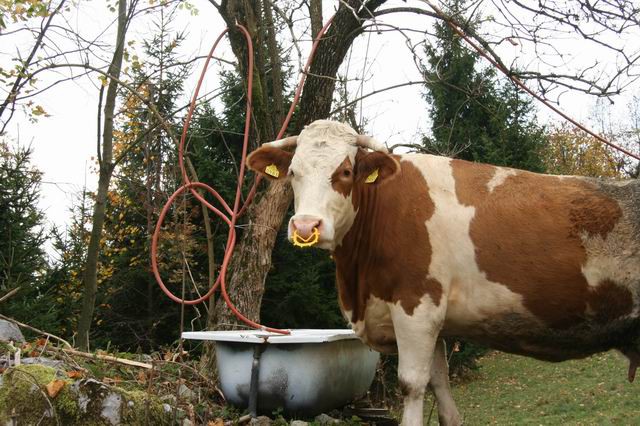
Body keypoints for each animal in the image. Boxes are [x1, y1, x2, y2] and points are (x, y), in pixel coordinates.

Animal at [246, 120, 640, 426]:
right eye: (293, 173)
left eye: (344, 172)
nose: (305, 226)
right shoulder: (434, 322)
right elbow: (440, 388)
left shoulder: (416, 307)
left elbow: (412, 383)